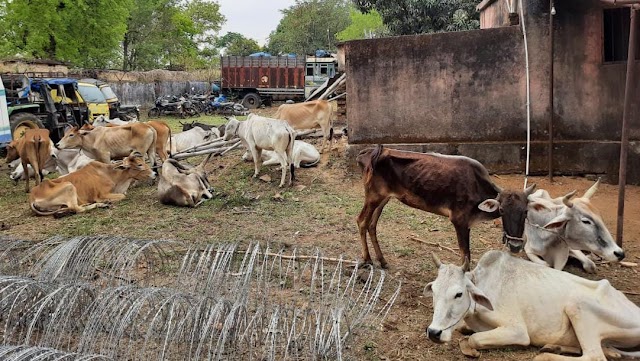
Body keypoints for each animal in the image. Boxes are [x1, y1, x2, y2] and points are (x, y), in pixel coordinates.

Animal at [356, 144, 536, 268]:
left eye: (526, 211)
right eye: (502, 210)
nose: (515, 246)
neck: (477, 187)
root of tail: (368, 153)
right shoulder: (459, 221)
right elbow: (465, 256)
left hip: (384, 199)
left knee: (372, 225)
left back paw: (382, 260)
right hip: (373, 197)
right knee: (361, 221)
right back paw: (368, 260)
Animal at [424, 250, 640, 360]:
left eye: (458, 294)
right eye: (433, 290)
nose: (434, 333)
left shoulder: (517, 331)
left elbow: (475, 339)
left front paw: (471, 349)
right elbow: (463, 330)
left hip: (578, 305)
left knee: (594, 355)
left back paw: (546, 356)